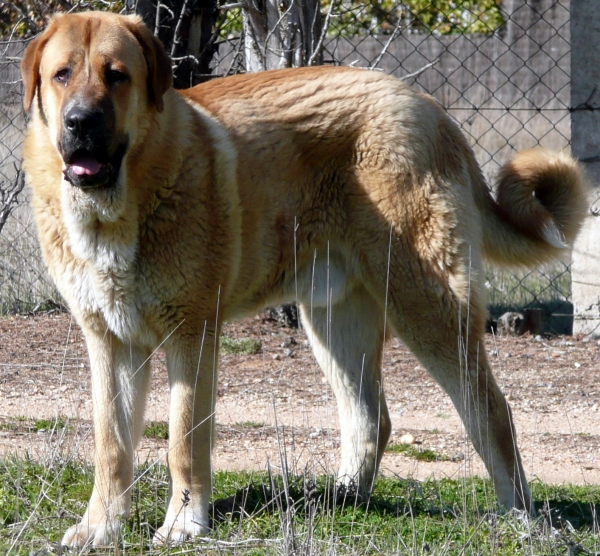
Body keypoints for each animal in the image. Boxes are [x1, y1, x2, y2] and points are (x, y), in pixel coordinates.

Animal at [21, 10, 588, 544]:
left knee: (492, 412)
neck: (121, 208)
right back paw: (343, 499)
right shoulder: (110, 341)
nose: (79, 122)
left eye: (116, 76)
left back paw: (518, 516)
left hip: (428, 308)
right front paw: (101, 528)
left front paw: (182, 525)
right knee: (370, 418)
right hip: (336, 324)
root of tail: (429, 107)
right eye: (62, 74)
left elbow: (183, 440)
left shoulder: (191, 335)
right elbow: (111, 446)